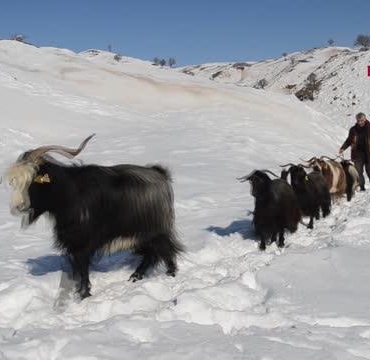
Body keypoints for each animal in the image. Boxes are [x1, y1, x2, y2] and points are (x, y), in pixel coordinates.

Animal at [7, 135, 184, 298]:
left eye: (32, 181)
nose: (18, 207)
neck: (68, 193)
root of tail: (160, 174)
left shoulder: (82, 242)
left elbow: (83, 268)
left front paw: (84, 294)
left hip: (154, 230)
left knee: (165, 250)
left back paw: (169, 275)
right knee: (153, 253)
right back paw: (135, 276)